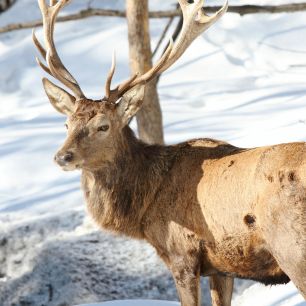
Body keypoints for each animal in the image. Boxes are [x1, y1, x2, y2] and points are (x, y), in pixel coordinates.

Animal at [32, 0, 304, 306]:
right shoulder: (222, 266)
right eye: (67, 124)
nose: (62, 156)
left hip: (293, 248)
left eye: (103, 126)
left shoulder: (181, 254)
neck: (145, 204)